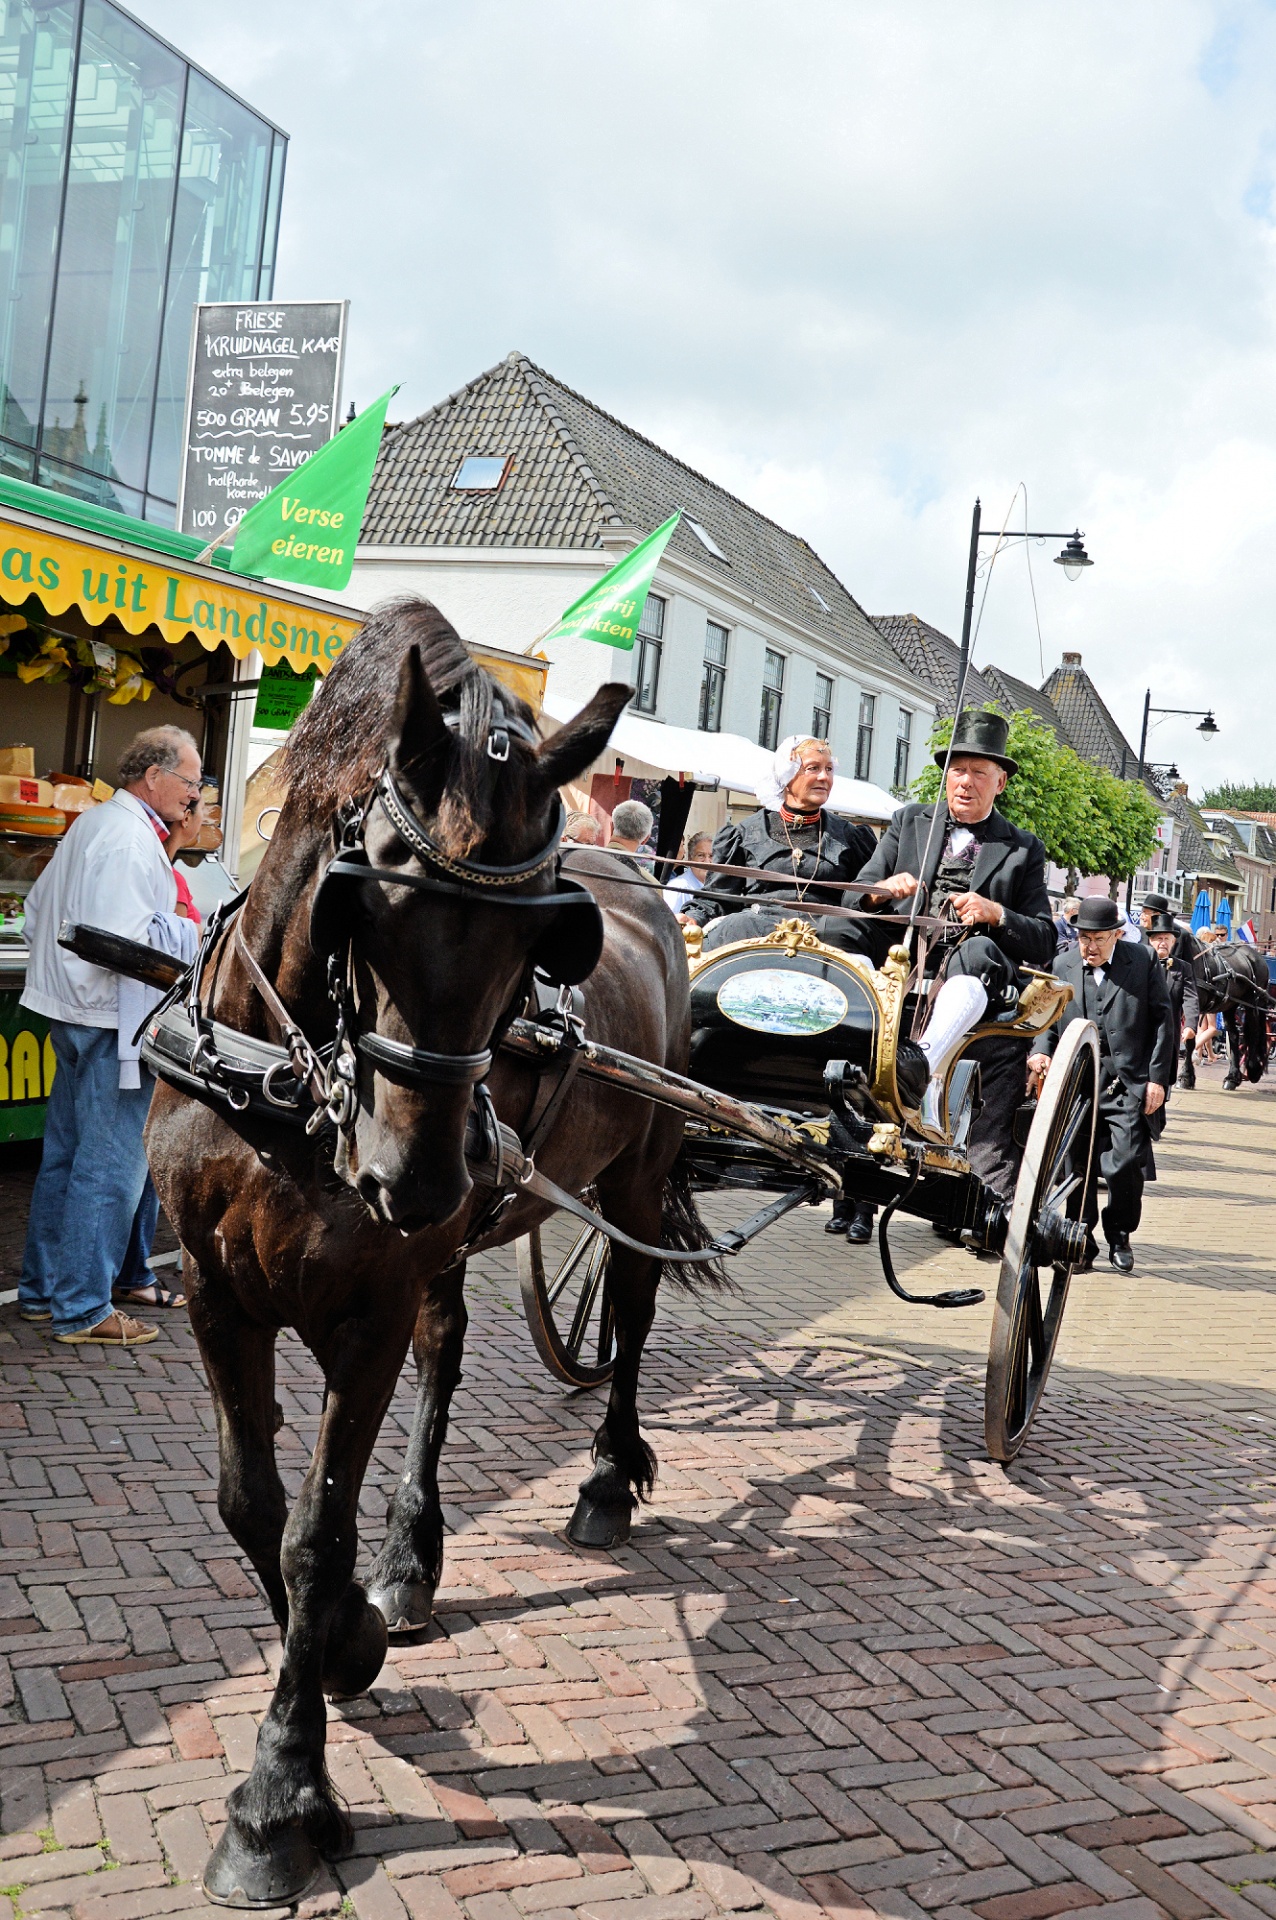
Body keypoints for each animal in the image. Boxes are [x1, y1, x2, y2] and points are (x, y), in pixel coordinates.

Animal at [1189, 936, 1266, 1090]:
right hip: (1229, 1005)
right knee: (1234, 1035)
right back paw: (1232, 1077)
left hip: (1253, 1005)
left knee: (1254, 1033)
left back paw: (1253, 1070)